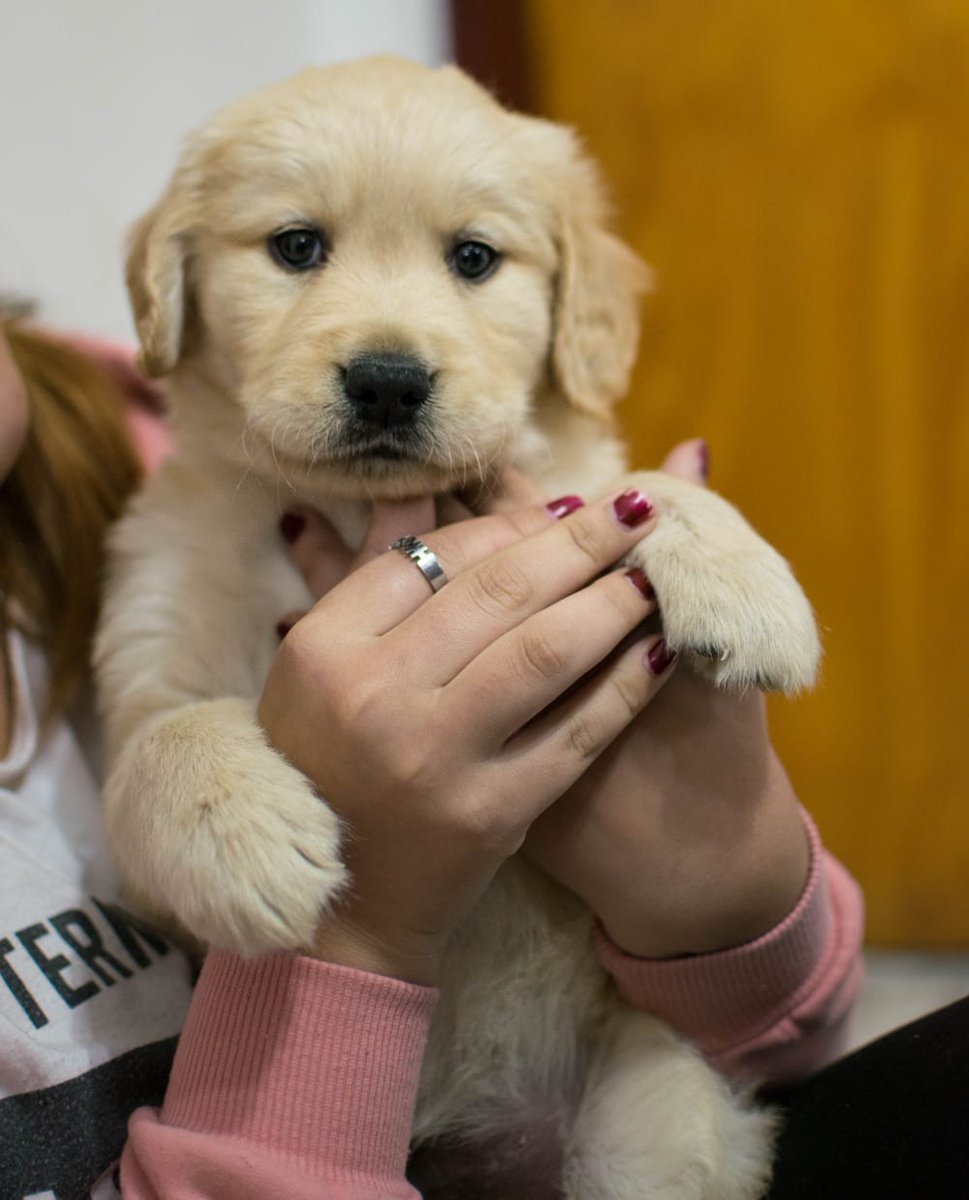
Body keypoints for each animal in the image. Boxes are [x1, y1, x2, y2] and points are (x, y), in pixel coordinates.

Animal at [96, 58, 815, 1200]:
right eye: (296, 246)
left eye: (474, 258)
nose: (388, 381)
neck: (363, 520)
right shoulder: (155, 632)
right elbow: (167, 735)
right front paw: (243, 838)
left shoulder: (564, 488)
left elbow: (633, 486)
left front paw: (746, 586)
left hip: (651, 1107)